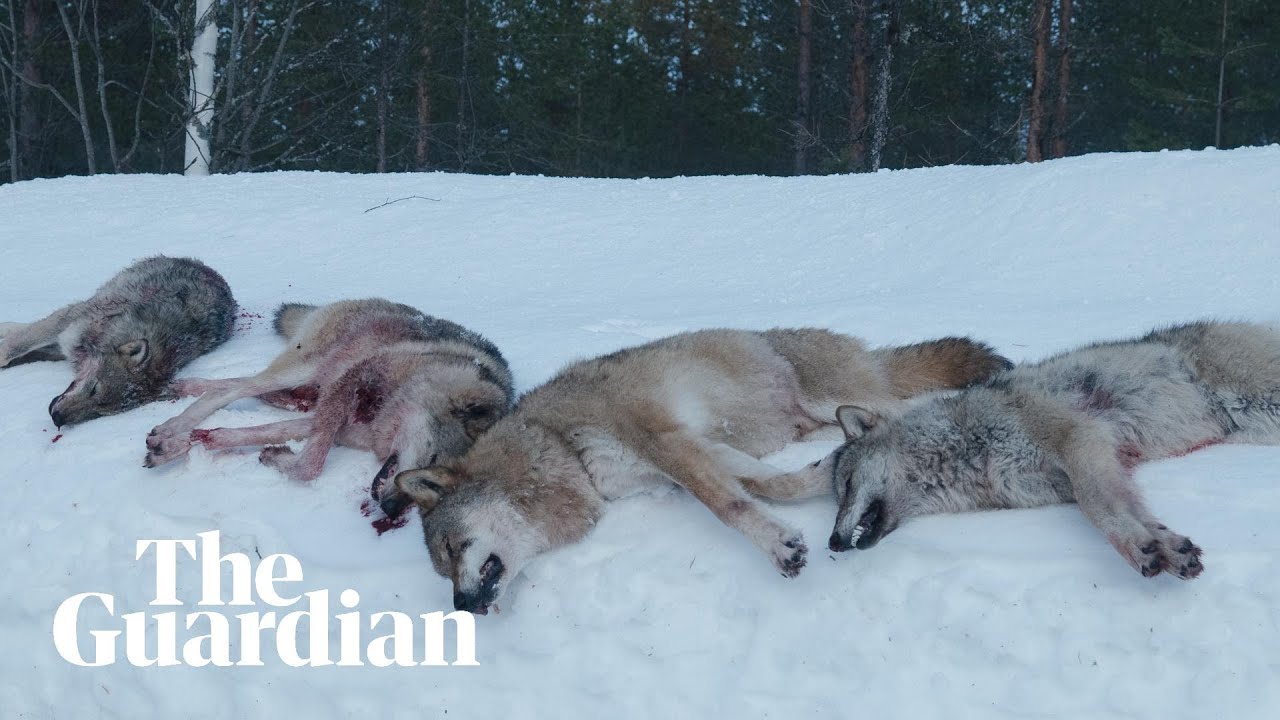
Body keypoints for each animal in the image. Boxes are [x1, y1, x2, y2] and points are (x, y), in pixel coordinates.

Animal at [0, 256, 236, 426]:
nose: (58, 419)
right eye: (94, 388)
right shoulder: (67, 327)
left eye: (99, 412)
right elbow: (19, 343)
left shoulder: (64, 344)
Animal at [143, 299, 514, 489]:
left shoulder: (341, 423)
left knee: (244, 386)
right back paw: (175, 422)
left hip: (309, 382)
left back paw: (180, 404)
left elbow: (264, 433)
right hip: (308, 366)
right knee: (235, 389)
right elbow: (311, 465)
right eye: (433, 459)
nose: (393, 508)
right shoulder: (352, 380)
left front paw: (198, 441)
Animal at [379, 328, 1010, 614]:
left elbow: (726, 505)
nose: (461, 608)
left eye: (453, 548)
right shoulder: (697, 449)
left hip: (842, 399)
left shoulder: (665, 440)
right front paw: (817, 479)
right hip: (809, 418)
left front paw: (780, 548)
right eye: (442, 570)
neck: (561, 448)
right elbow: (767, 485)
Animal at [769, 321, 1280, 580]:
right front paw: (1164, 544)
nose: (832, 543)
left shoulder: (1080, 441)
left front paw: (1141, 548)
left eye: (846, 486)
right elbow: (1127, 510)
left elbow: (1102, 511)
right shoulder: (1094, 466)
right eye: (837, 496)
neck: (967, 454)